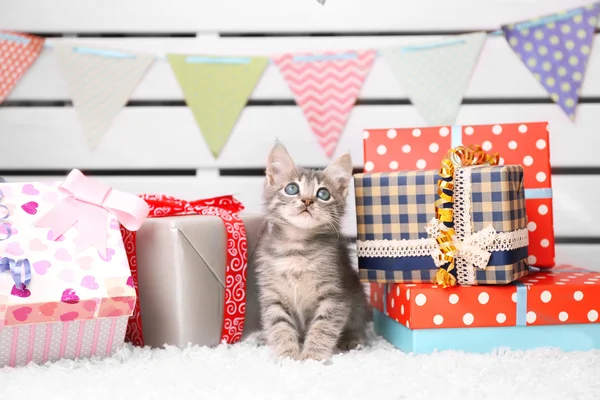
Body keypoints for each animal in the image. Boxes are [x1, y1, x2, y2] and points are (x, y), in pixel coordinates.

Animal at [252, 142, 368, 360]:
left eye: (323, 194)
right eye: (292, 188)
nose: (307, 201)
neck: (297, 248)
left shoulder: (335, 294)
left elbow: (323, 327)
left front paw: (311, 358)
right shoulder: (273, 295)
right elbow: (279, 327)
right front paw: (288, 356)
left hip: (358, 298)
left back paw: (352, 338)